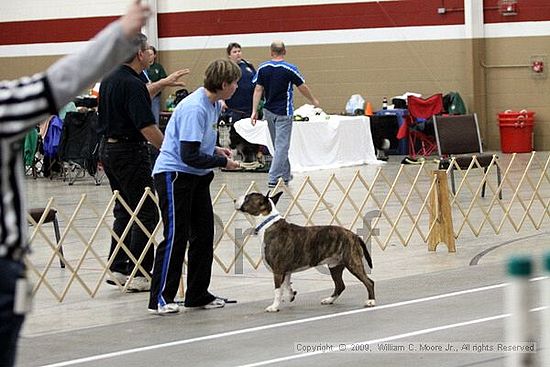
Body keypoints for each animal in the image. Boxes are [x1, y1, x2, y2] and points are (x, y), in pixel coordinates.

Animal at [235, 193, 378, 314]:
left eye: (247, 198)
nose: (235, 200)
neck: (267, 223)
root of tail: (354, 235)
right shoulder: (286, 270)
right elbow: (286, 285)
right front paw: (290, 295)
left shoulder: (278, 270)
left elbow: (277, 290)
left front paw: (274, 306)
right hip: (335, 265)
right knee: (340, 285)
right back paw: (329, 300)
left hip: (352, 262)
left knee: (368, 282)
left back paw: (371, 301)